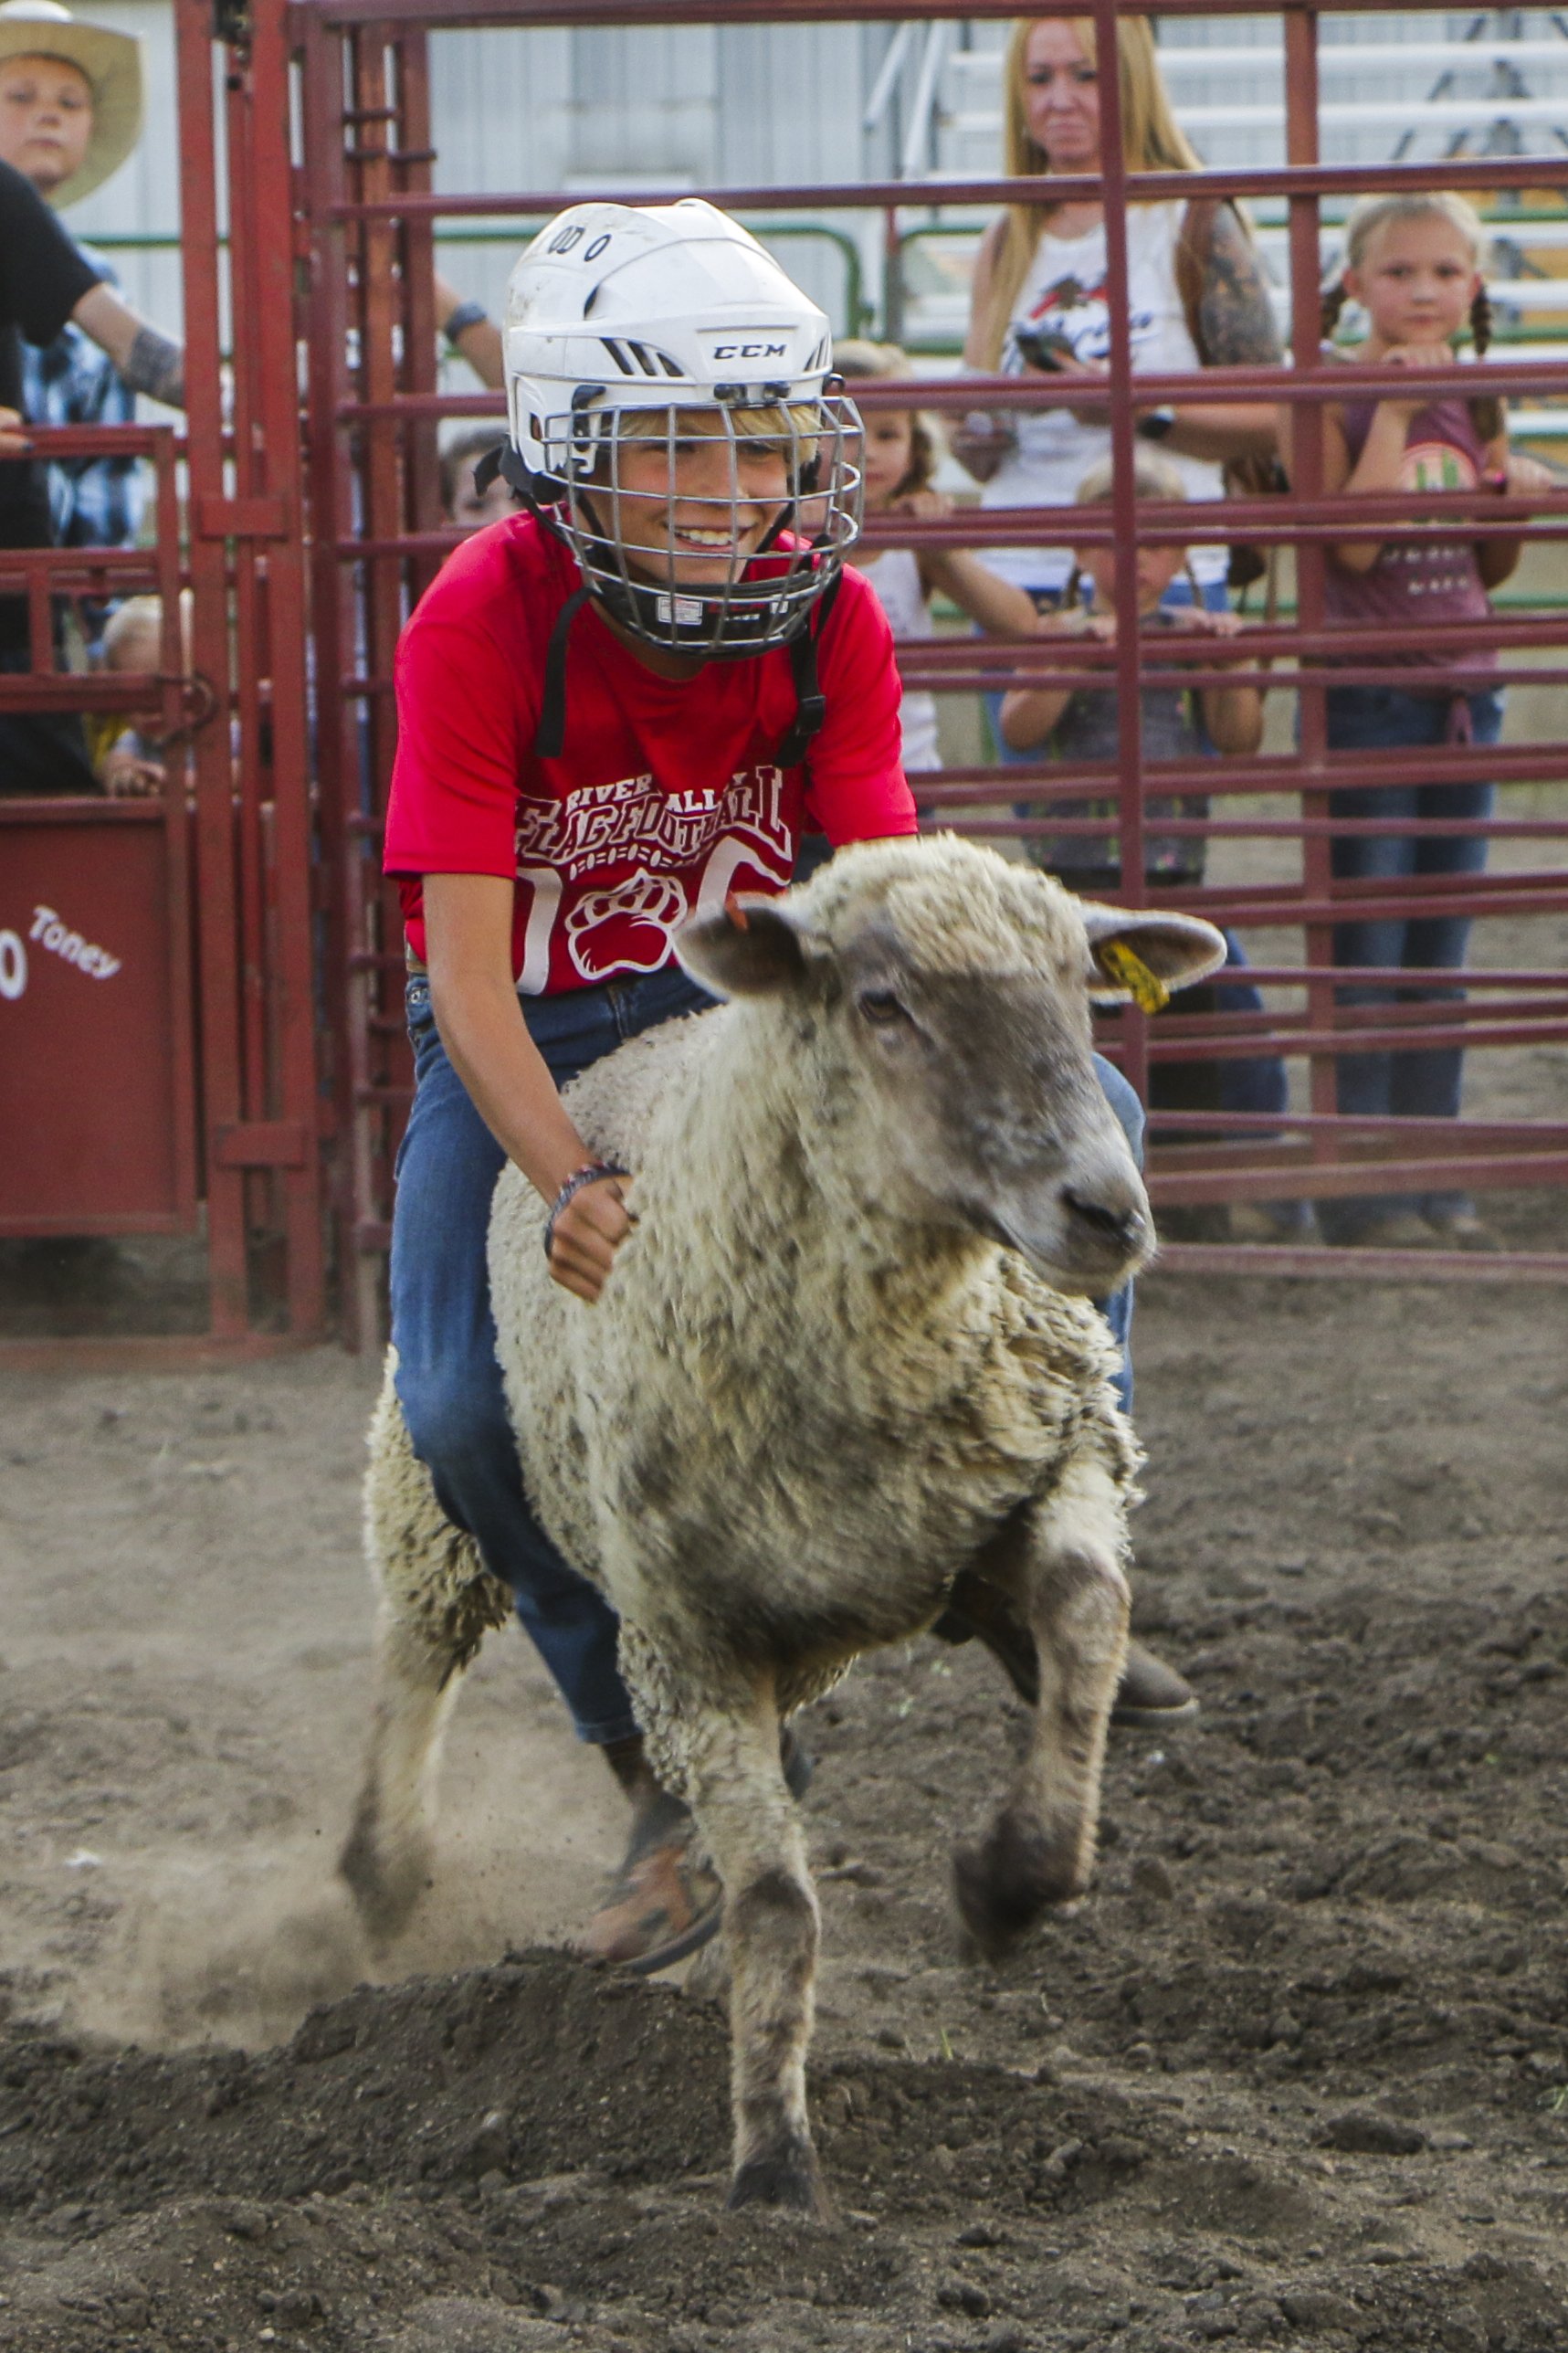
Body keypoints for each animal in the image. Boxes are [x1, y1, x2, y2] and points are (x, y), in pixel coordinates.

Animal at [342, 838, 1222, 2211]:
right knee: (421, 1656)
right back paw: (393, 1872)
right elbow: (776, 1905)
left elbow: (1086, 1610)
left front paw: (1009, 1884)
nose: (1105, 1213)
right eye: (883, 1004)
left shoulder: (1052, 1449)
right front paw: (772, 2165)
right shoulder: (688, 1631)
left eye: (1083, 995)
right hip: (437, 1477)